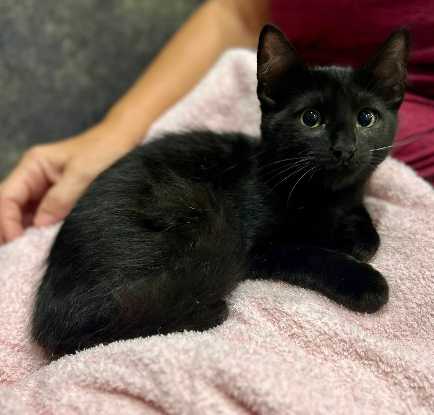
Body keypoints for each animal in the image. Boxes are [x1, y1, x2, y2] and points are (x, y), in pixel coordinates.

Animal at [32, 24, 410, 357]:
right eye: (311, 118)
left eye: (366, 118)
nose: (344, 149)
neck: (320, 196)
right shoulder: (258, 248)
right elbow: (309, 253)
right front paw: (364, 280)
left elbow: (359, 209)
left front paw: (360, 237)